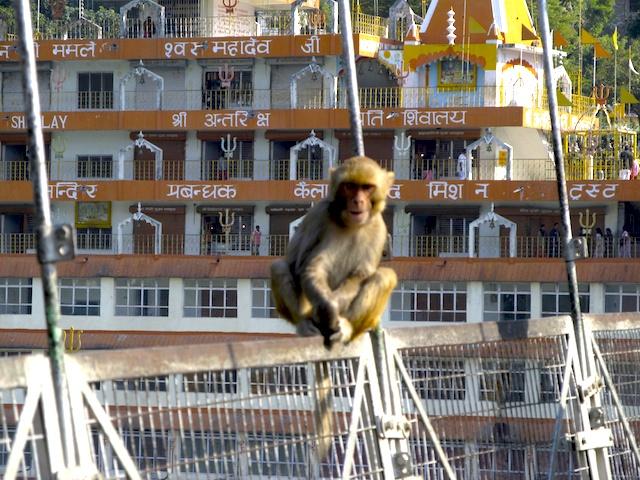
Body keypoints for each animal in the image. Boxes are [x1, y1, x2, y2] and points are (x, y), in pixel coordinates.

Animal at [270, 158, 396, 348]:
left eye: (367, 188)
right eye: (350, 186)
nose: (358, 201)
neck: (350, 224)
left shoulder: (378, 228)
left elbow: (360, 275)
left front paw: (333, 304)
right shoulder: (319, 214)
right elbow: (308, 266)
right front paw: (327, 304)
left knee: (384, 276)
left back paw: (346, 329)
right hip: (306, 307)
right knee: (279, 267)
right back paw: (304, 324)